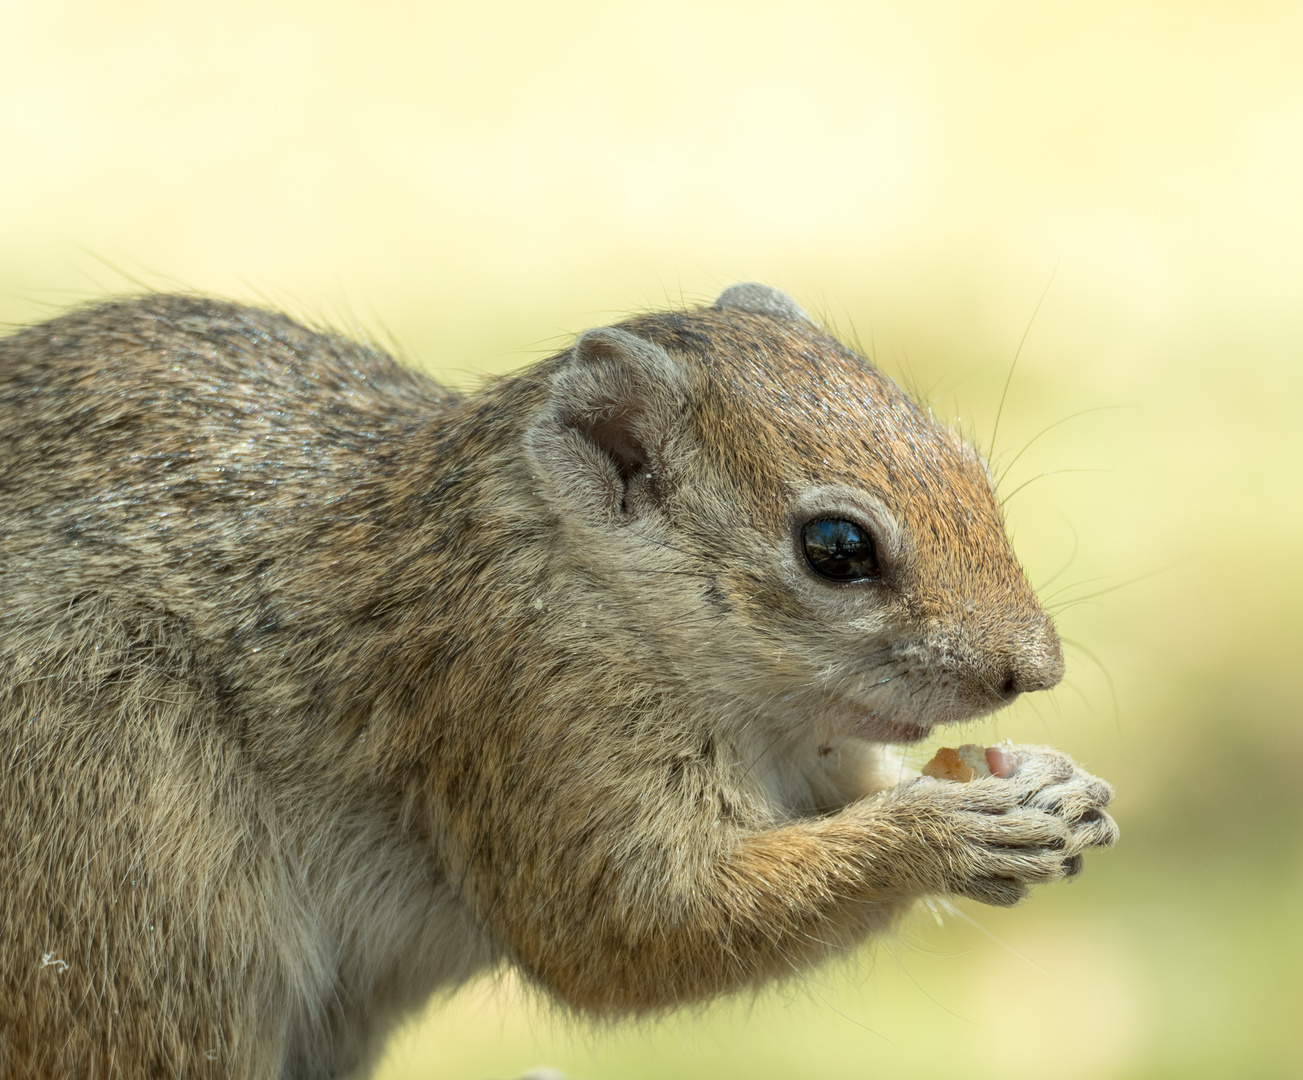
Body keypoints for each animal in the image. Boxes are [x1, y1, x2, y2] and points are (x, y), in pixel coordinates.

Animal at [2, 286, 1120, 1078]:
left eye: (967, 465)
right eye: (836, 548)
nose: (1035, 667)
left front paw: (1047, 780)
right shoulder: (530, 702)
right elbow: (627, 926)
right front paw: (946, 831)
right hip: (130, 878)